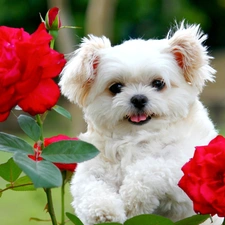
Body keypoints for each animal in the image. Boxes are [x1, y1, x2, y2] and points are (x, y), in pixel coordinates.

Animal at [59, 21, 221, 225]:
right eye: (116, 87)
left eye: (158, 83)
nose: (138, 98)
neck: (136, 138)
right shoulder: (92, 169)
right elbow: (92, 189)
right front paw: (104, 212)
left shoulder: (184, 168)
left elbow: (150, 169)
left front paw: (131, 200)